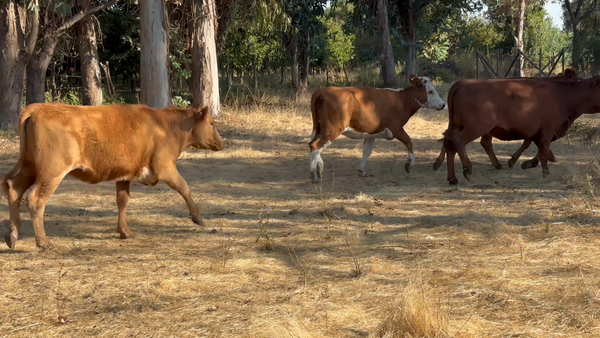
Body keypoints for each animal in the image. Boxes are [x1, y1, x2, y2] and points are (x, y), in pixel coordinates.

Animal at [1, 103, 224, 248]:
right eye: (212, 123)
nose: (221, 143)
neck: (166, 126)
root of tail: (38, 108)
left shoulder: (124, 175)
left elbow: (122, 200)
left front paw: (124, 231)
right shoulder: (165, 167)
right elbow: (185, 187)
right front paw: (198, 218)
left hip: (31, 167)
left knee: (13, 188)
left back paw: (12, 236)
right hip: (51, 172)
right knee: (35, 199)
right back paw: (43, 242)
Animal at [310, 75, 446, 184]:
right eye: (431, 91)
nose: (443, 104)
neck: (402, 99)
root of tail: (321, 91)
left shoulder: (372, 133)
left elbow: (367, 151)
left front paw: (362, 170)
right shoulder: (396, 128)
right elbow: (409, 142)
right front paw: (409, 164)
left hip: (319, 129)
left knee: (314, 146)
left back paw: (319, 170)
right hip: (332, 129)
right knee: (315, 146)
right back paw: (314, 176)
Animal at [440, 76, 600, 185]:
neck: (563, 95)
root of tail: (462, 83)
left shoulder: (539, 132)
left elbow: (539, 150)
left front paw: (528, 163)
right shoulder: (548, 130)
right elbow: (543, 151)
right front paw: (546, 174)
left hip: (457, 126)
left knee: (450, 144)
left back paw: (452, 178)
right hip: (476, 127)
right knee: (458, 141)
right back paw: (468, 169)